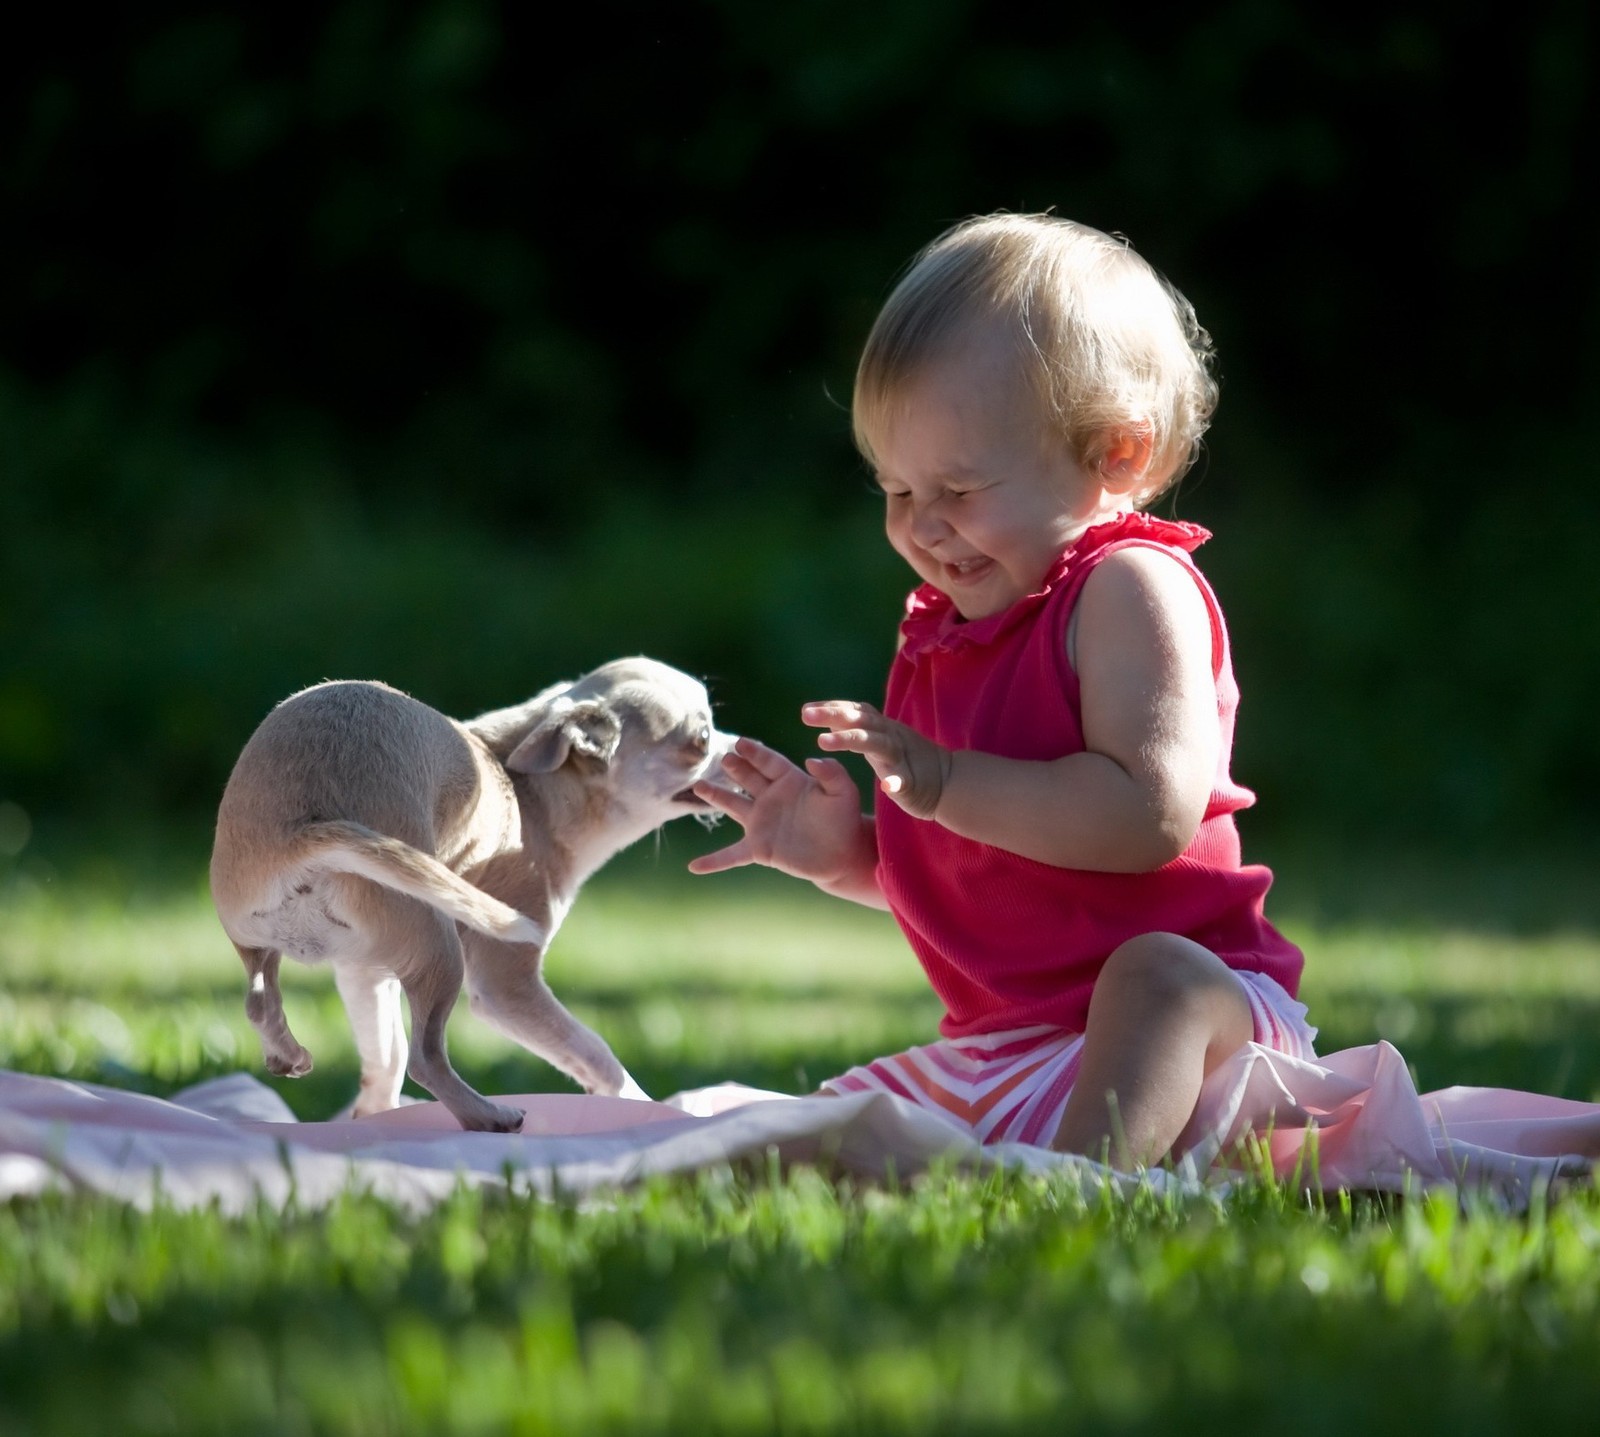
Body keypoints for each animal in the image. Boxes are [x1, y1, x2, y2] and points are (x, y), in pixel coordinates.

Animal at [209, 652, 732, 1132]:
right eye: (703, 740)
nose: (742, 747)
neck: (530, 790)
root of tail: (302, 835)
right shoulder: (507, 986)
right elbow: (594, 1050)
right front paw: (640, 1104)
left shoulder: (363, 971)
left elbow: (383, 1055)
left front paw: (373, 1116)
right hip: (440, 950)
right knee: (425, 1058)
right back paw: (488, 1115)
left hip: (261, 935)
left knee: (261, 999)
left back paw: (287, 1052)